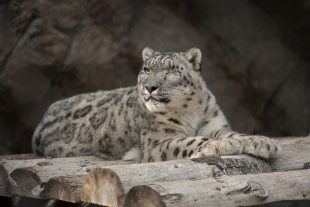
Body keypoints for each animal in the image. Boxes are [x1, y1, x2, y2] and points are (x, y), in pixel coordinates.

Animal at [31, 47, 280, 162]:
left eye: (171, 71)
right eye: (147, 69)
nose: (150, 87)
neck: (192, 112)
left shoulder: (215, 125)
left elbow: (234, 134)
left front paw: (263, 142)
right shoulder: (157, 142)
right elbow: (189, 141)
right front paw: (221, 145)